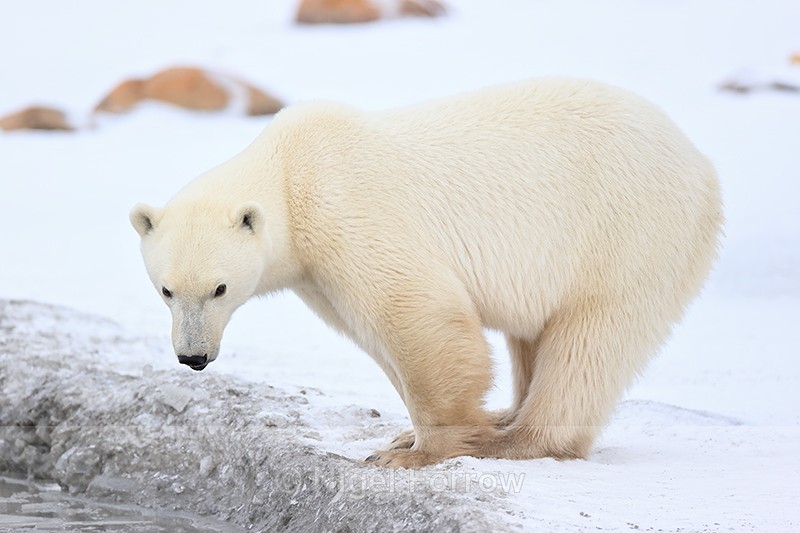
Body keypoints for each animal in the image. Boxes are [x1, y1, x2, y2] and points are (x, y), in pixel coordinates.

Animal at [130, 78, 723, 468]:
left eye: (220, 288)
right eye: (166, 291)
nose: (194, 357)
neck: (291, 172)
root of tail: (701, 167)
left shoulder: (350, 214)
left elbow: (413, 316)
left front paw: (414, 453)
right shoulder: (316, 274)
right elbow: (376, 337)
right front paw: (405, 438)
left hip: (625, 230)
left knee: (590, 339)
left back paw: (517, 440)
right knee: (535, 335)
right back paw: (504, 417)